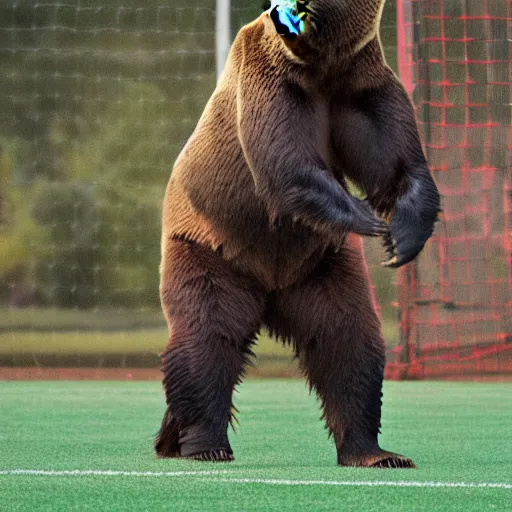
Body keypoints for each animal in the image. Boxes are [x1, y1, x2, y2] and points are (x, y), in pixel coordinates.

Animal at [155, 0, 440, 468]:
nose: (287, 11)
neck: (321, 68)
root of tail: (271, 288)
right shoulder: (270, 77)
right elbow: (285, 161)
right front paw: (369, 219)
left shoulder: (360, 86)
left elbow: (395, 161)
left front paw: (401, 234)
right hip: (209, 249)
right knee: (208, 337)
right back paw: (203, 443)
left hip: (321, 268)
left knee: (347, 339)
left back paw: (373, 451)